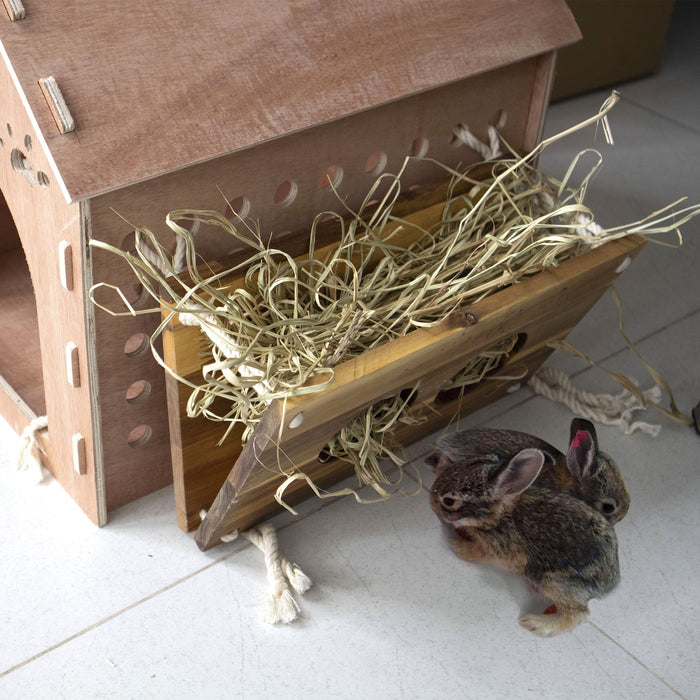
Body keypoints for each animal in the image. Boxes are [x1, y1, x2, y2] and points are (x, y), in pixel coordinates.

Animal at [430, 448, 620, 636]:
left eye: (449, 501)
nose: (431, 499)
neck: (499, 516)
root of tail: (610, 585)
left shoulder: (500, 550)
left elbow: (479, 552)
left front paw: (457, 545)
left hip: (554, 581)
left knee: (578, 613)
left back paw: (537, 623)